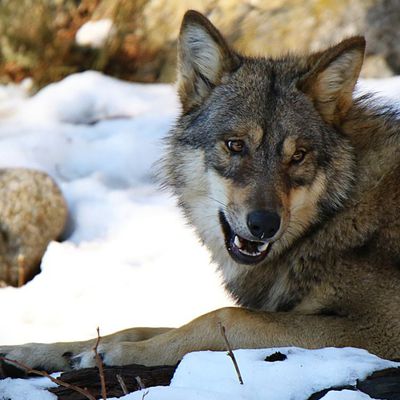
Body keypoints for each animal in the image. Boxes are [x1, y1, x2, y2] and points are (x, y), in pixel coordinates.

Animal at [0, 8, 400, 372]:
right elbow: (136, 326)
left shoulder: (378, 329)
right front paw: (39, 350)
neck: (337, 215)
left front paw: (115, 355)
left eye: (297, 156)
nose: (264, 224)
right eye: (235, 145)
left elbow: (223, 317)